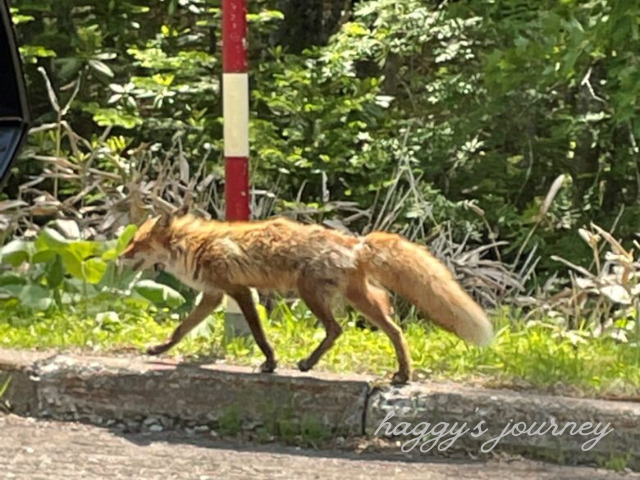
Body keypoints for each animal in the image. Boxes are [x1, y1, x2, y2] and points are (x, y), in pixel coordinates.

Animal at [120, 207, 492, 386]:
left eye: (136, 243)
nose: (119, 257)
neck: (193, 245)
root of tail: (354, 244)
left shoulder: (240, 291)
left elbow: (258, 333)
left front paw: (270, 362)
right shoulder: (213, 296)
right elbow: (180, 330)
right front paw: (158, 350)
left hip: (309, 293)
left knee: (339, 329)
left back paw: (312, 363)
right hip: (357, 299)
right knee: (392, 330)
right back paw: (401, 373)